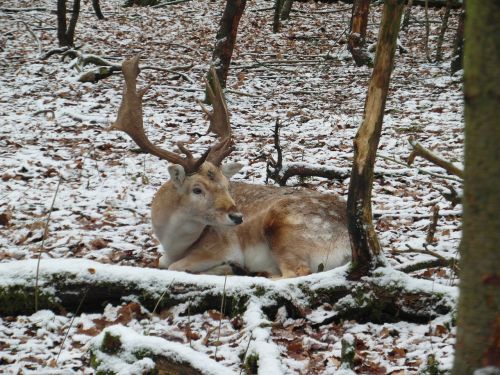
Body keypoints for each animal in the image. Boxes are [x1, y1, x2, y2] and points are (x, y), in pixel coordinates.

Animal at [111, 57, 350, 278]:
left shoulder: (221, 245)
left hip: (286, 228)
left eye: (226, 185)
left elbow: (174, 267)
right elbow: (162, 262)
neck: (173, 244)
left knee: (296, 272)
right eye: (197, 189)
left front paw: (228, 266)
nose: (237, 217)